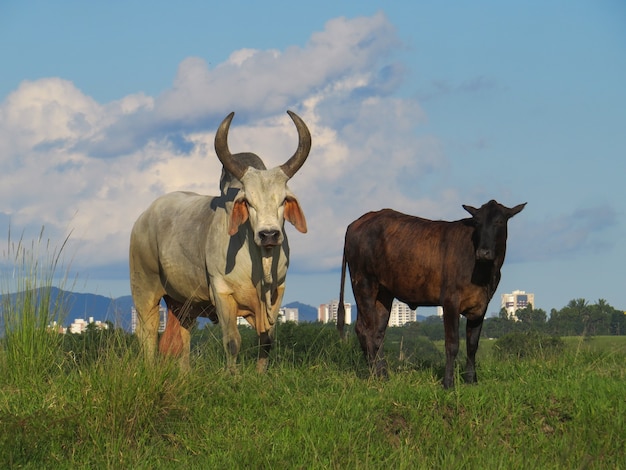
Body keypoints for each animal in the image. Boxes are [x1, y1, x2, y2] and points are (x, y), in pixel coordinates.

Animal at [336, 200, 520, 388]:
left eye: (499, 221)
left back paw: (383, 376)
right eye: (477, 222)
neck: (485, 274)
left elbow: (472, 344)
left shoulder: (481, 305)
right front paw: (448, 383)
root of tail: (358, 222)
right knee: (366, 330)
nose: (483, 252)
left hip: (383, 293)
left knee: (376, 332)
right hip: (364, 283)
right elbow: (452, 344)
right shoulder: (450, 301)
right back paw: (376, 376)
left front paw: (471, 381)